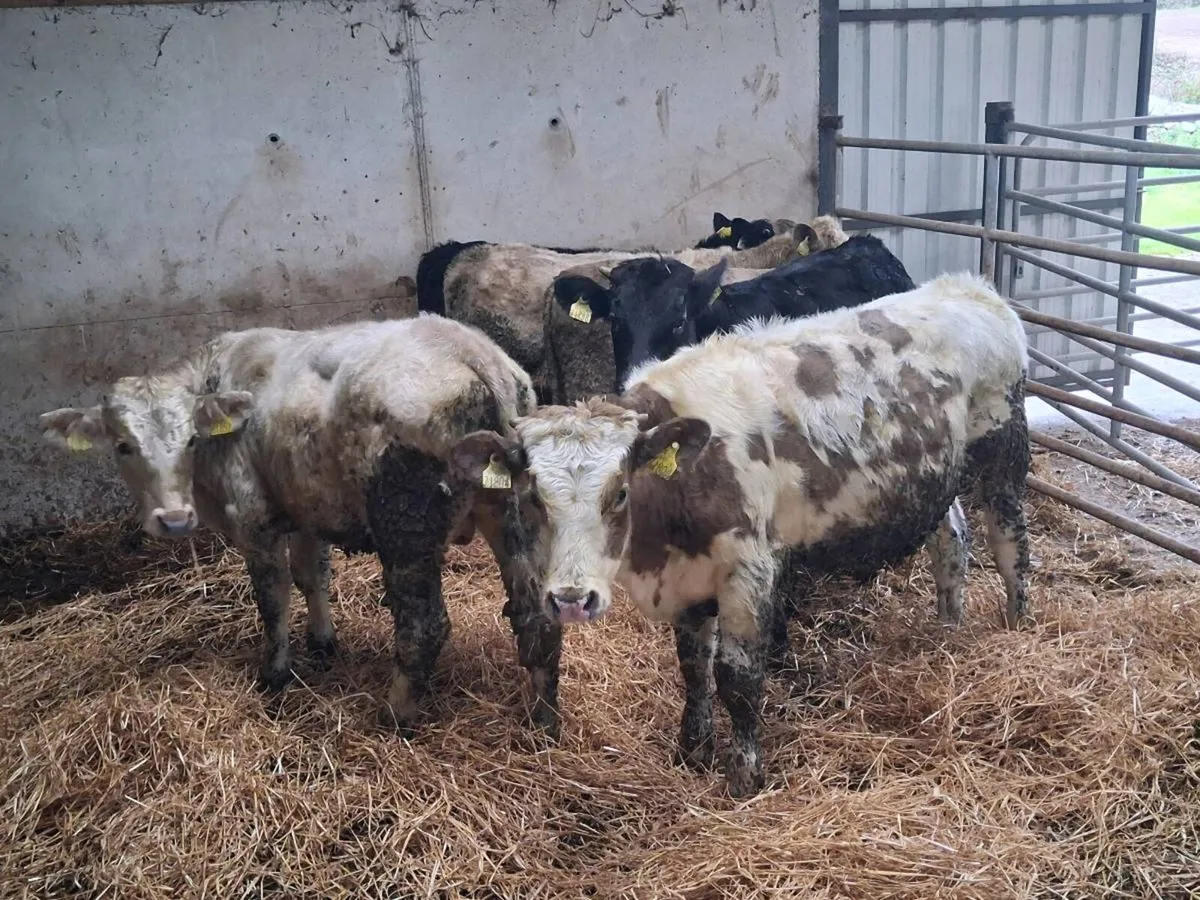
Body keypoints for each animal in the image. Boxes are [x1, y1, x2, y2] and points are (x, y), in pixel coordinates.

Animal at [40, 315, 568, 736]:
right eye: (124, 445)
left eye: (191, 439)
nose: (173, 519)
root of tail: (474, 354)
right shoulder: (307, 510)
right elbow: (313, 576)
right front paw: (323, 642)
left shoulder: (253, 519)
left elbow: (273, 600)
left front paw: (275, 674)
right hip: (517, 510)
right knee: (537, 616)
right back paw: (543, 719)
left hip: (405, 525)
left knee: (424, 627)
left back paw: (394, 715)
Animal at [449, 272, 1032, 796]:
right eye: (532, 495)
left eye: (619, 493)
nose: (571, 600)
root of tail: (969, 287)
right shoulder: (688, 579)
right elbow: (694, 669)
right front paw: (692, 751)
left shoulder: (748, 572)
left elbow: (738, 679)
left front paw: (744, 777)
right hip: (937, 475)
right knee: (952, 539)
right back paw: (948, 627)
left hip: (1003, 447)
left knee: (1010, 545)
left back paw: (1016, 626)